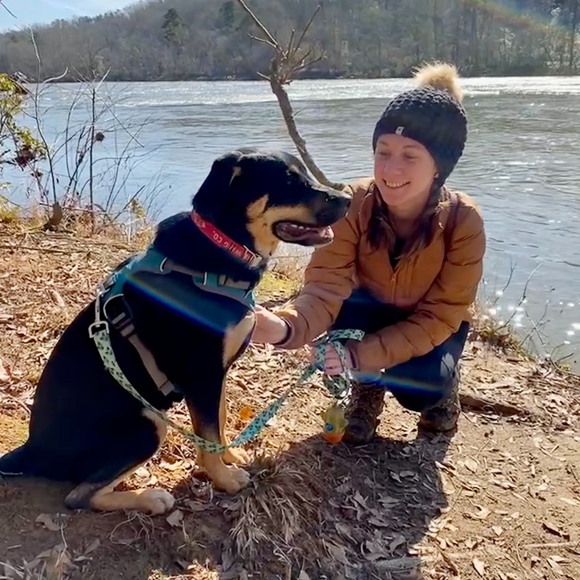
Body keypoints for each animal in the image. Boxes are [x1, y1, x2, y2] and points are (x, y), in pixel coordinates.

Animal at [0, 148, 351, 515]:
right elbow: (208, 437)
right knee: (79, 497)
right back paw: (150, 497)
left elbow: (218, 424)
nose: (347, 198)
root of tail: (30, 450)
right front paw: (224, 480)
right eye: (288, 181)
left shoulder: (216, 377)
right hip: (148, 425)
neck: (221, 250)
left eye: (304, 174)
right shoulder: (203, 375)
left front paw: (230, 456)